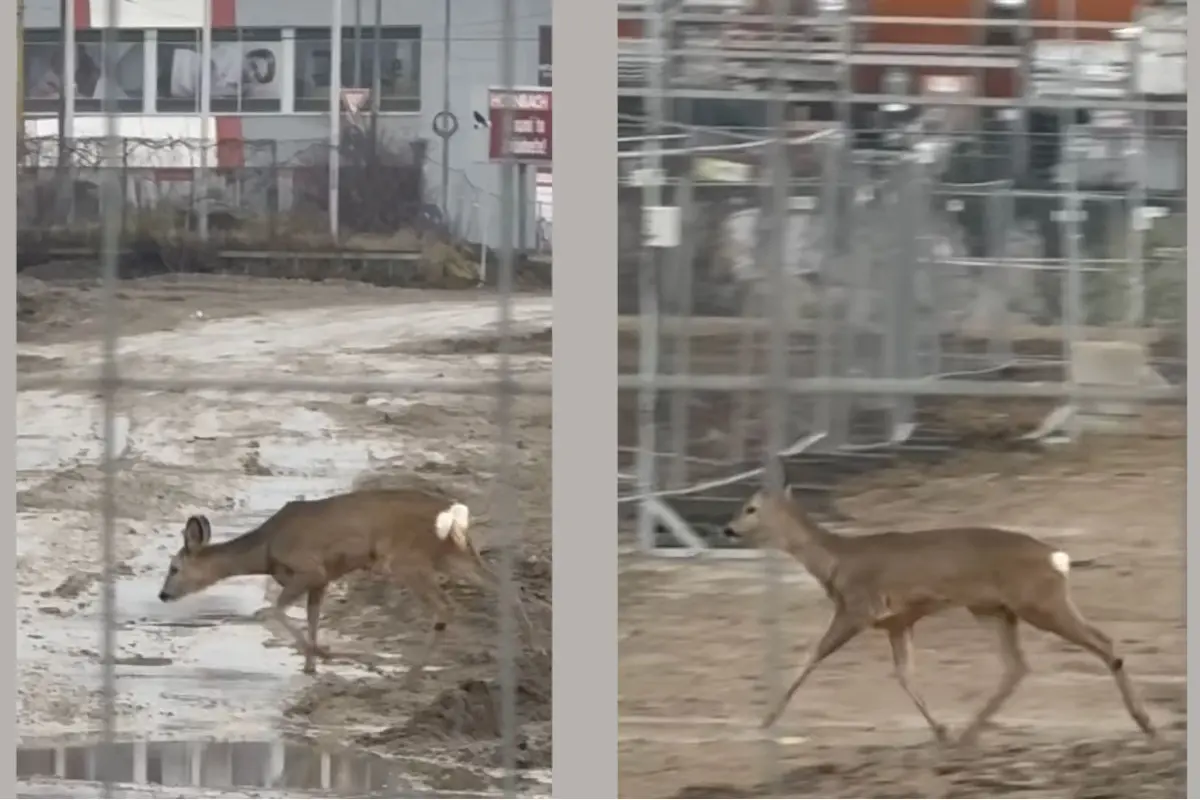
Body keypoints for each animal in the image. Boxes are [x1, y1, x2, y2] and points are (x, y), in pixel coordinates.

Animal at [156, 484, 540, 681]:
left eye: (173, 567)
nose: (162, 595)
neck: (266, 549)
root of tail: (453, 515)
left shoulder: (310, 569)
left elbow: (270, 611)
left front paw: (325, 655)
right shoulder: (322, 579)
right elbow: (312, 617)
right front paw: (311, 664)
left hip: (408, 560)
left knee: (446, 607)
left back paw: (413, 669)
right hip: (454, 554)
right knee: (504, 585)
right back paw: (533, 651)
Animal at [715, 472, 1156, 748]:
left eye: (750, 507)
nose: (727, 529)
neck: (836, 562)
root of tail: (1057, 558)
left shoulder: (857, 608)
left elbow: (811, 656)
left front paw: (765, 720)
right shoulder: (898, 621)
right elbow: (904, 674)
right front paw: (941, 730)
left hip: (1037, 602)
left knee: (1102, 642)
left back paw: (1145, 722)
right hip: (995, 610)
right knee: (1017, 666)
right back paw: (967, 734)